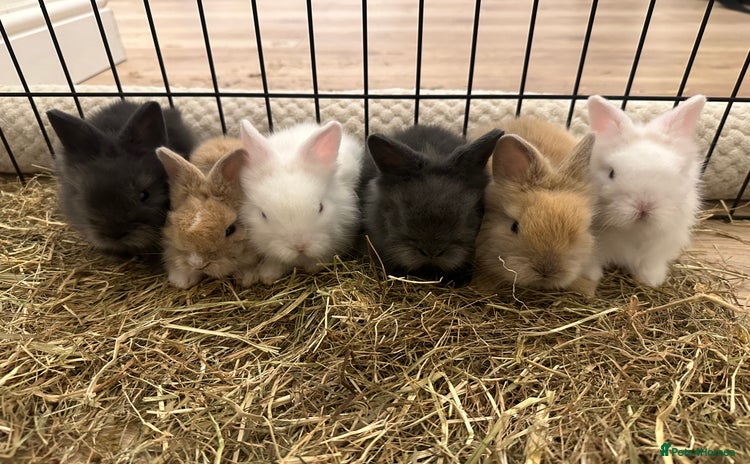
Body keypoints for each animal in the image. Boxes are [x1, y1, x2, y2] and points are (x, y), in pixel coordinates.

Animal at [584, 95, 706, 287]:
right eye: (611, 173)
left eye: (675, 174)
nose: (644, 207)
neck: (635, 231)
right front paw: (591, 277)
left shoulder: (657, 250)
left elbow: (649, 265)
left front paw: (652, 280)